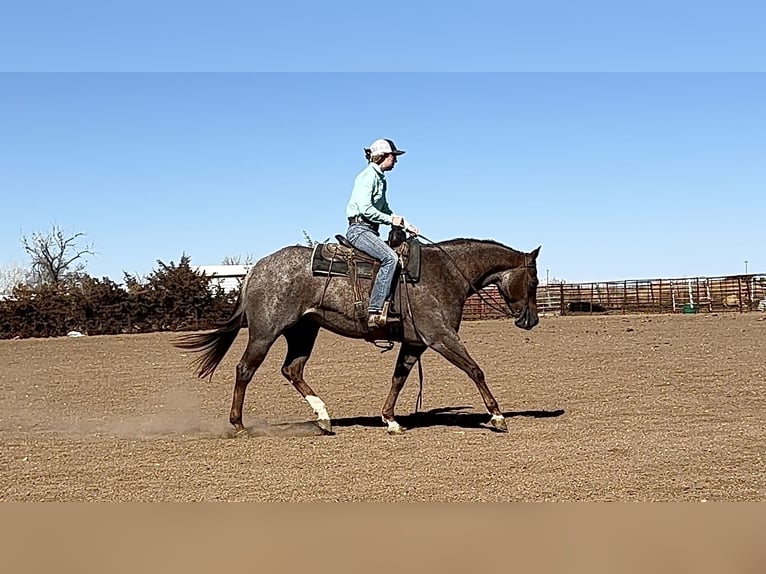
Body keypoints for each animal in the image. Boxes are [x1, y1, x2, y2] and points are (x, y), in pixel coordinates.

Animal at [175, 238, 541, 435]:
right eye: (534, 281)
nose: (532, 320)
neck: (446, 273)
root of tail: (255, 269)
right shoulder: (440, 337)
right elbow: (475, 370)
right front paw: (498, 417)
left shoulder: (414, 343)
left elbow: (398, 379)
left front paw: (390, 420)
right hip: (265, 333)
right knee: (245, 370)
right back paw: (238, 425)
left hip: (304, 331)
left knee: (292, 369)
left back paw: (324, 418)